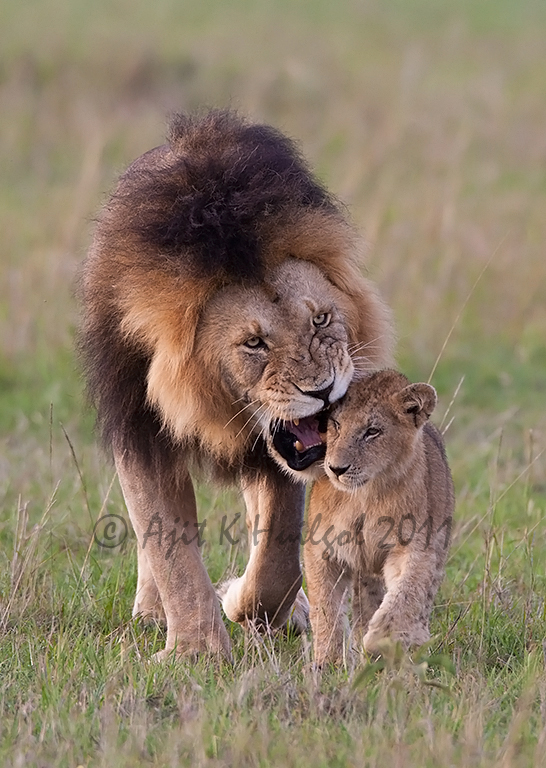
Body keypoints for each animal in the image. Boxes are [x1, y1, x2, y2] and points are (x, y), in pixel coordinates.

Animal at [79, 110, 394, 660]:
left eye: (321, 319)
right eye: (254, 343)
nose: (323, 390)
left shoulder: (285, 458)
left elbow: (278, 551)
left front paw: (250, 608)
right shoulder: (139, 425)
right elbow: (166, 543)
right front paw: (195, 650)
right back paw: (151, 612)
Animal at [304, 369, 454, 665]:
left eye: (371, 432)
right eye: (336, 424)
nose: (336, 469)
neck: (366, 496)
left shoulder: (415, 547)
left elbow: (405, 596)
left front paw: (380, 642)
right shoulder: (321, 548)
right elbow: (326, 607)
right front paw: (329, 661)